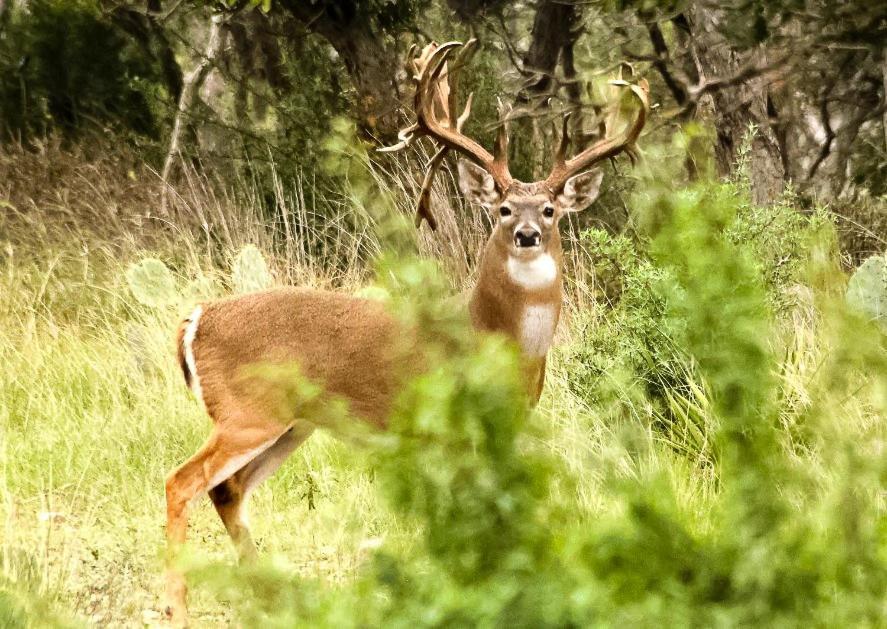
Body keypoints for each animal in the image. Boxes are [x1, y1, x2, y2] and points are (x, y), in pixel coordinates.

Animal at [161, 41, 644, 624]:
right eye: (504, 209)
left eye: (550, 210)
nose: (528, 234)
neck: (489, 337)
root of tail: (196, 319)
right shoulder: (450, 429)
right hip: (247, 411)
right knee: (181, 482)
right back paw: (177, 609)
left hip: (292, 424)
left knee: (227, 491)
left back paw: (271, 596)